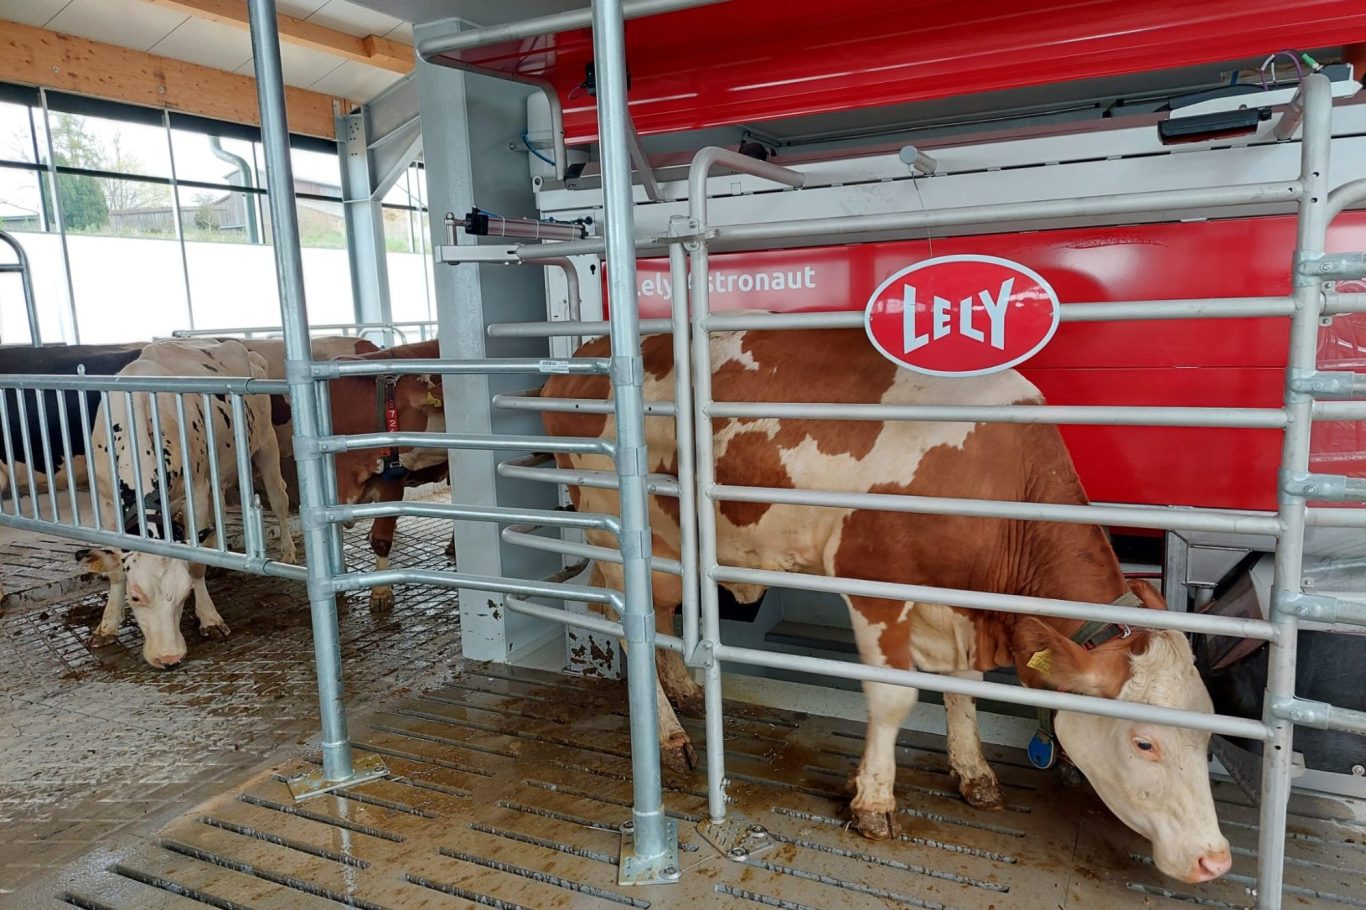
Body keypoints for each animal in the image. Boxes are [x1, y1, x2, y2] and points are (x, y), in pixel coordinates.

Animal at [76, 340, 295, 666]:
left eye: (184, 594)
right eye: (135, 596)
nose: (169, 658)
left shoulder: (197, 491)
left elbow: (195, 563)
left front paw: (210, 619)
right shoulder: (105, 502)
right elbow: (114, 569)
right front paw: (108, 626)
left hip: (265, 444)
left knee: (279, 497)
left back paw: (288, 551)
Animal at [546, 327, 1240, 885]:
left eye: (1210, 732)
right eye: (1144, 742)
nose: (1216, 859)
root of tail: (581, 353)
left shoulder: (960, 608)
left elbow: (963, 687)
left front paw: (973, 771)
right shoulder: (874, 584)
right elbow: (893, 698)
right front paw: (874, 802)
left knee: (655, 614)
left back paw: (687, 689)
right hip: (614, 525)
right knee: (630, 624)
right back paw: (668, 735)